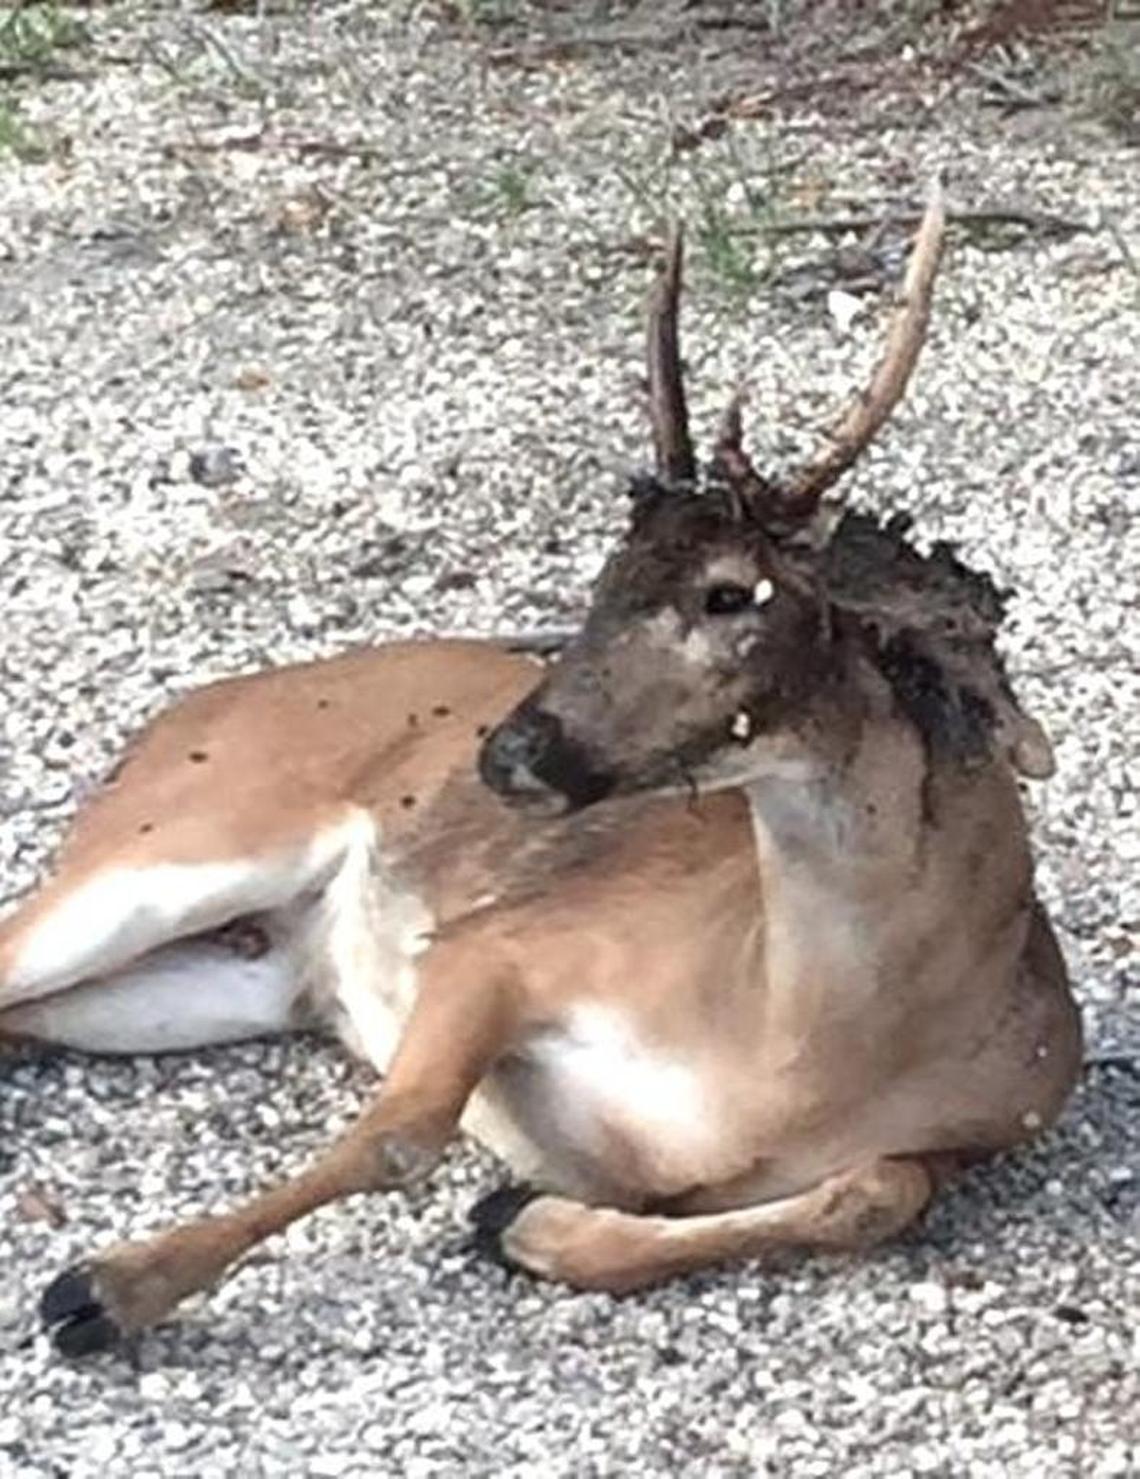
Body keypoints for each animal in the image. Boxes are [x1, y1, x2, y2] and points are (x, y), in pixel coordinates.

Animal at [1, 184, 1082, 1359]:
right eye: (606, 574)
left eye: (729, 593)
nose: (510, 751)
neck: (787, 1054)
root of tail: (178, 715)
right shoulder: (507, 942)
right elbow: (400, 1132)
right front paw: (100, 1287)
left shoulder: (985, 1118)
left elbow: (875, 1194)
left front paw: (519, 1218)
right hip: (185, 837)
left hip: (246, 973)